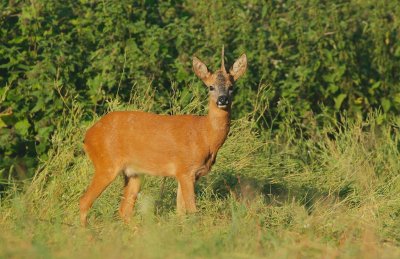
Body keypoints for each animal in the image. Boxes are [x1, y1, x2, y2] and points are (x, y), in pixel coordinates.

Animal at [79, 47, 245, 228]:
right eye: (211, 87)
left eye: (231, 87)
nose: (223, 99)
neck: (205, 136)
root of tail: (87, 136)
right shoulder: (185, 170)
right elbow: (193, 211)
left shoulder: (185, 174)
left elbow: (181, 212)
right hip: (106, 164)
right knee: (84, 201)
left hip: (133, 173)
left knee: (124, 210)